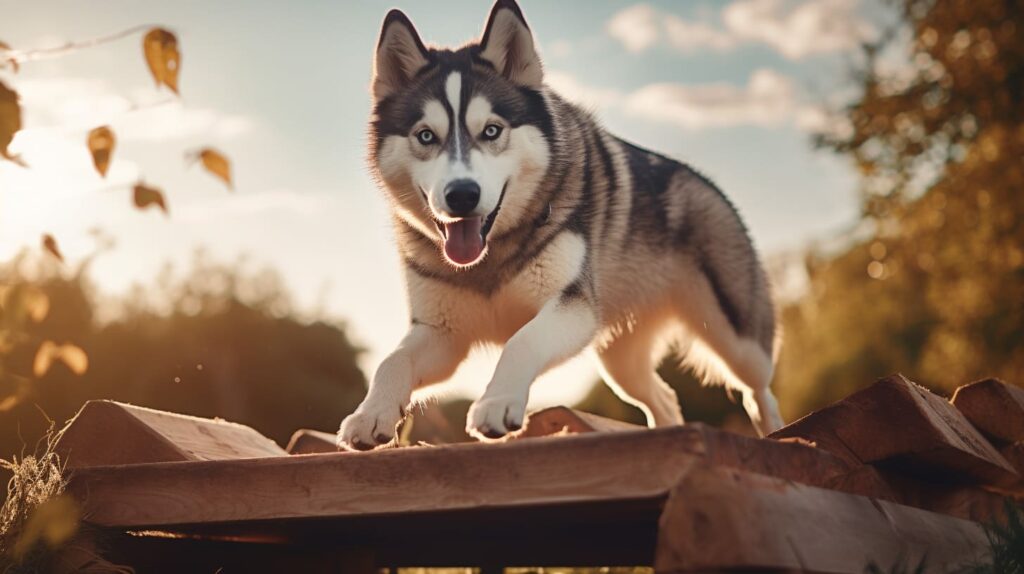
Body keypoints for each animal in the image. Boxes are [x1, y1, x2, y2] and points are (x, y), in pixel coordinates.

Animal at [337, 0, 782, 450]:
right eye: (426, 136)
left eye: (492, 130)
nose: (462, 194)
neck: (489, 258)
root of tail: (703, 180)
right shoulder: (443, 332)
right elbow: (392, 360)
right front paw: (370, 414)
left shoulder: (571, 307)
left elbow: (521, 341)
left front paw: (496, 403)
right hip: (620, 359)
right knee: (664, 398)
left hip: (736, 336)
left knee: (758, 389)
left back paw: (777, 433)